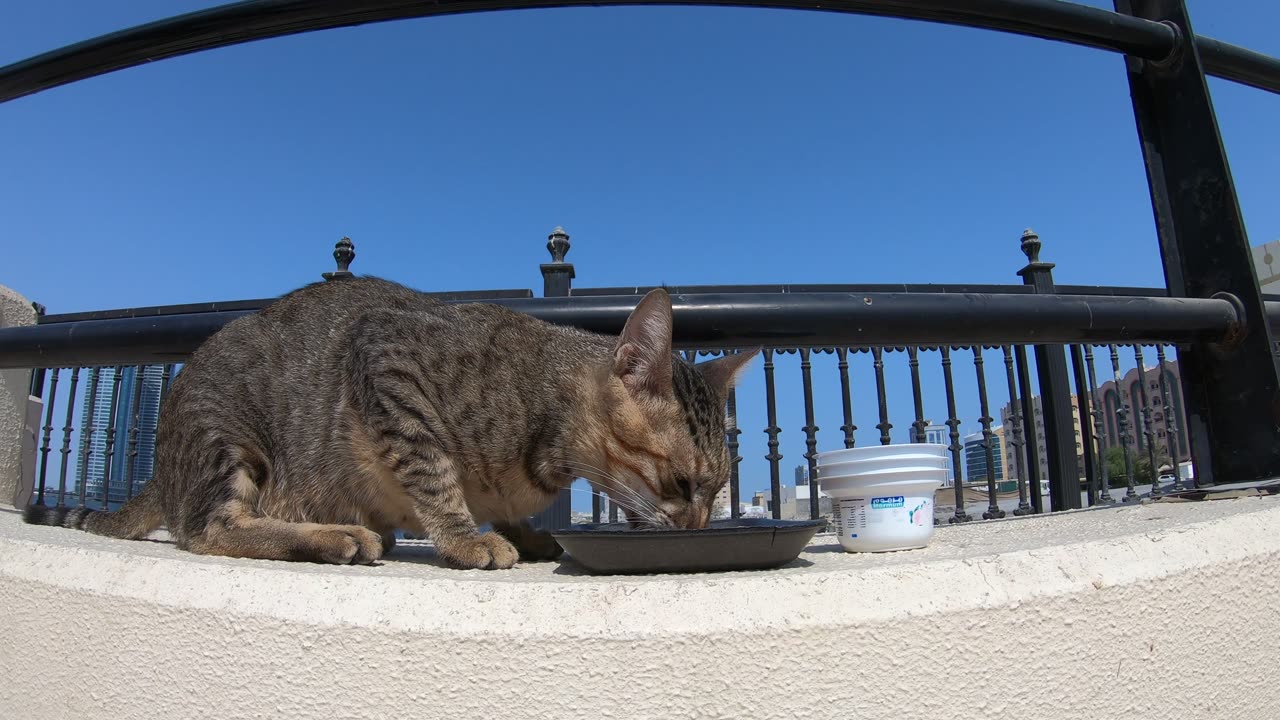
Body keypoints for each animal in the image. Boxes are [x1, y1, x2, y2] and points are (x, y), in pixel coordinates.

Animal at [22, 278, 747, 568]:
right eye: (682, 484)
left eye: (718, 489)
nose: (699, 530)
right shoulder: (388, 360)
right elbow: (435, 475)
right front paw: (467, 538)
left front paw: (520, 529)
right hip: (226, 432)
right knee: (208, 529)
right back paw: (334, 536)